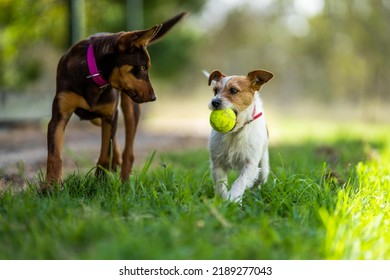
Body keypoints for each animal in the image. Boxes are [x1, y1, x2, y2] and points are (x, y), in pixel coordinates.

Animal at [44, 11, 187, 190]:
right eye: (142, 67)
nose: (154, 97)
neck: (93, 75)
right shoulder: (59, 117)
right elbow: (54, 154)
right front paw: (51, 186)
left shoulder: (110, 115)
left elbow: (106, 151)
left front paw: (100, 180)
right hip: (95, 118)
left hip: (130, 109)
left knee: (129, 151)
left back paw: (124, 182)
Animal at [206, 69, 272, 202]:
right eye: (215, 90)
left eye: (233, 90)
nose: (214, 101)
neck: (234, 133)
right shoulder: (217, 163)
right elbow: (220, 184)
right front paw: (222, 200)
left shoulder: (250, 164)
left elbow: (240, 182)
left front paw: (233, 198)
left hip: (263, 168)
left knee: (259, 181)